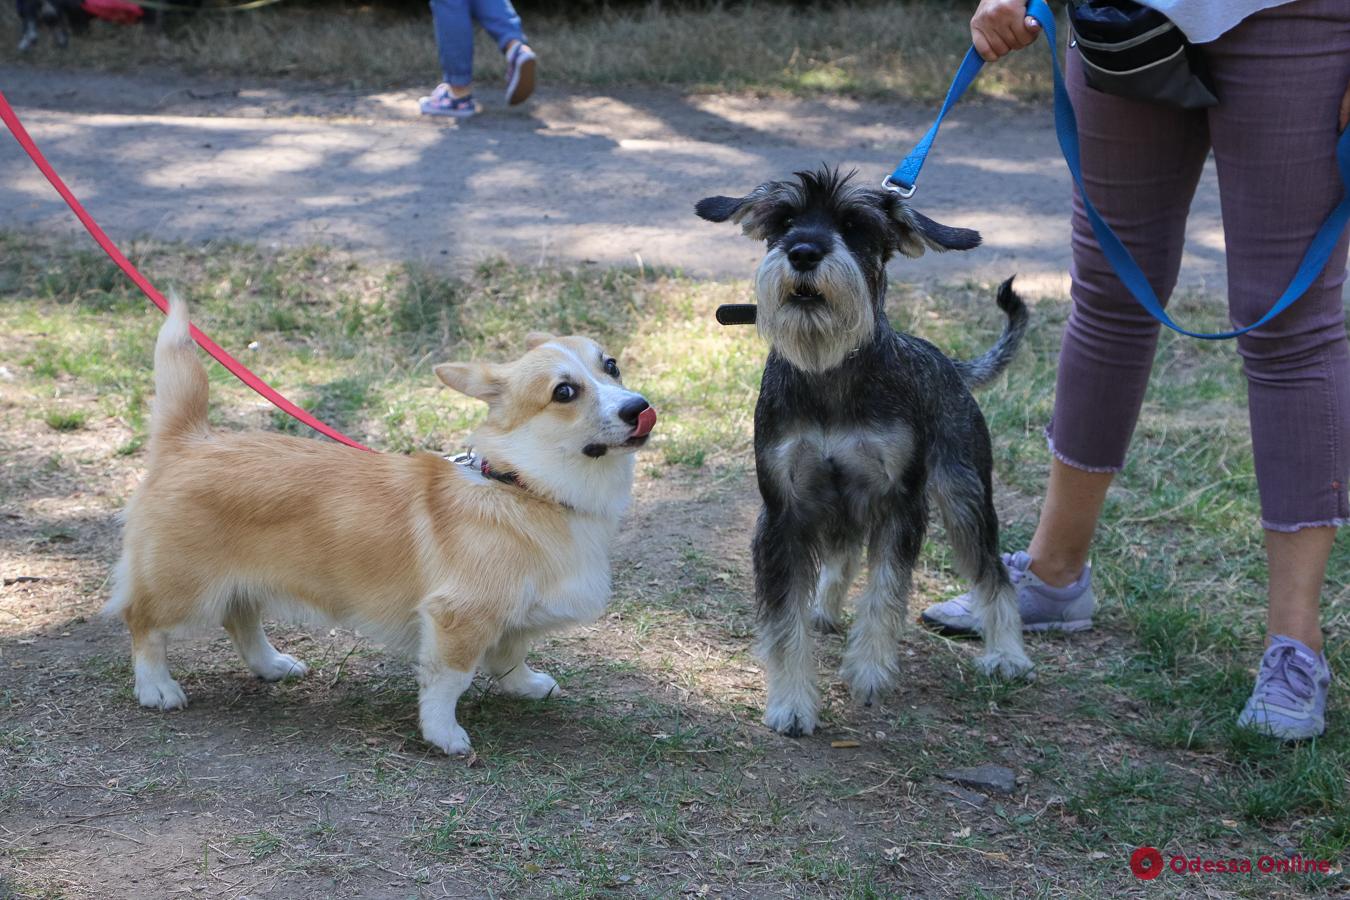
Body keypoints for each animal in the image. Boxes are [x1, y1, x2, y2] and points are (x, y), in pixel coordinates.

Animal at [696, 168, 1031, 739]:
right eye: (785, 220)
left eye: (854, 225)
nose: (803, 252)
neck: (829, 372)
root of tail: (947, 361)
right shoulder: (784, 512)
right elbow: (784, 620)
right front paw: (792, 701)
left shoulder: (902, 504)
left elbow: (885, 592)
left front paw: (869, 670)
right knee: (845, 552)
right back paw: (825, 607)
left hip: (964, 499)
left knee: (993, 572)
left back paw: (1007, 653)